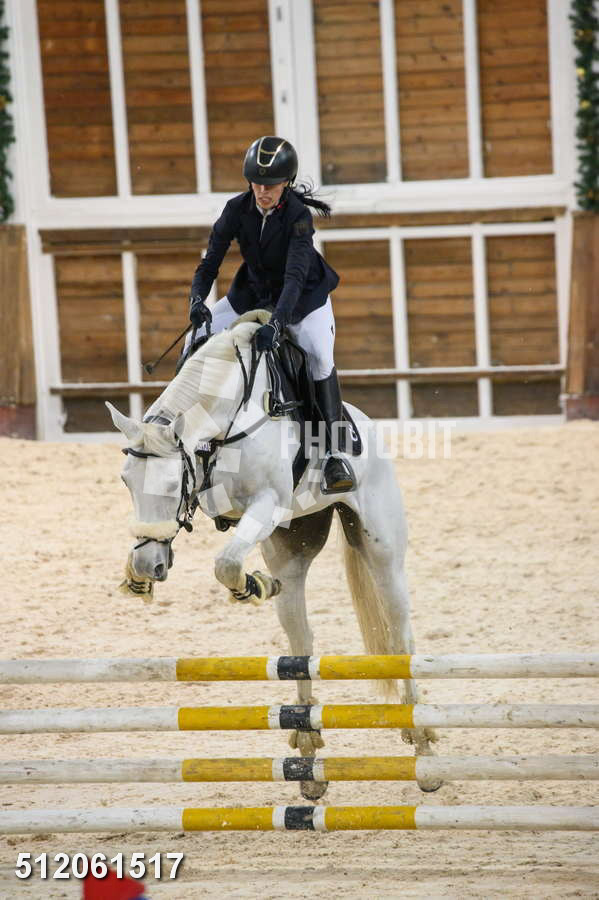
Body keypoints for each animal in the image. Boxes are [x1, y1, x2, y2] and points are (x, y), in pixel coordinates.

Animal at [107, 312, 439, 800]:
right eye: (126, 481)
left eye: (170, 484)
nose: (152, 564)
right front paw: (137, 574)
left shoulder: (267, 502)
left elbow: (226, 563)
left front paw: (251, 585)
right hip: (293, 549)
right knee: (301, 643)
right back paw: (308, 756)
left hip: (382, 555)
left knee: (400, 637)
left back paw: (424, 751)